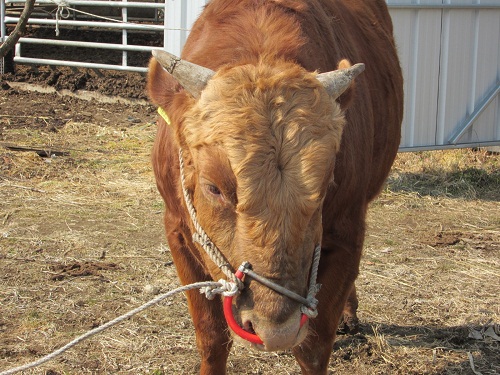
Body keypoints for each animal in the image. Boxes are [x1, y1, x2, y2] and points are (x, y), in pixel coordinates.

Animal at [146, 0, 402, 375]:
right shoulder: (177, 231)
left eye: (326, 185)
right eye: (213, 188)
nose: (275, 329)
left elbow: (313, 348)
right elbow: (211, 338)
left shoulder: (348, 233)